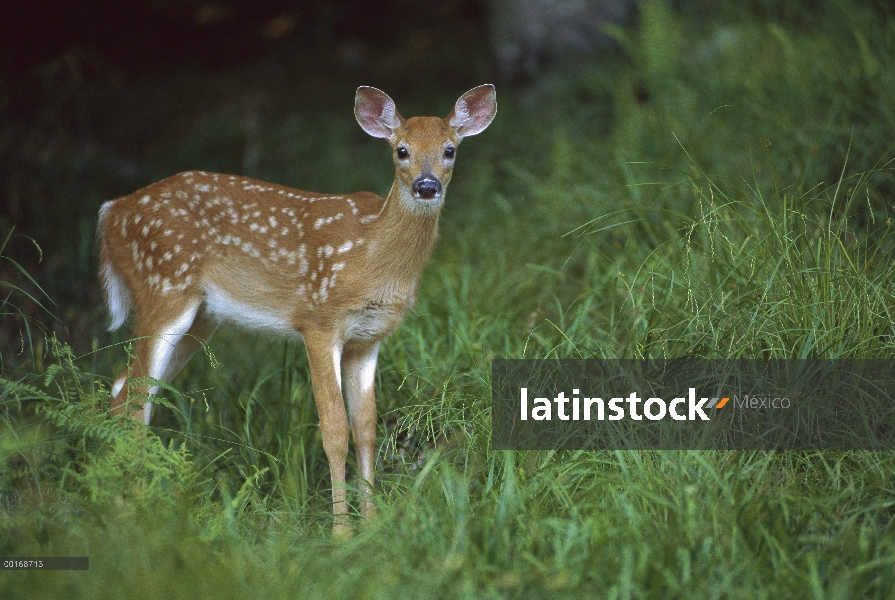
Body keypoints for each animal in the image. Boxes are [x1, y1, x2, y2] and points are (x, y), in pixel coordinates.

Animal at [101, 83, 500, 536]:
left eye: (450, 150)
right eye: (401, 150)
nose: (427, 185)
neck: (370, 256)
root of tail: (110, 213)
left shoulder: (368, 338)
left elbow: (365, 427)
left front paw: (373, 522)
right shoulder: (318, 321)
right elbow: (334, 429)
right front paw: (342, 533)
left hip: (200, 318)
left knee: (129, 389)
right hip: (163, 288)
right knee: (133, 394)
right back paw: (132, 506)